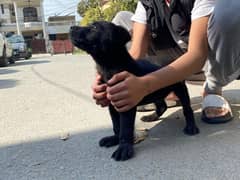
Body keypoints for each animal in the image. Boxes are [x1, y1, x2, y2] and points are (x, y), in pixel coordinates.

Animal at [70, 21, 200, 162]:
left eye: (94, 27)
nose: (71, 27)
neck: (108, 66)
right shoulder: (112, 105)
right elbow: (117, 126)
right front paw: (114, 139)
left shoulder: (126, 103)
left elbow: (125, 128)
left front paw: (124, 148)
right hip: (155, 90)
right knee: (162, 106)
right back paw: (151, 116)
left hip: (180, 87)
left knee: (187, 109)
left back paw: (191, 127)